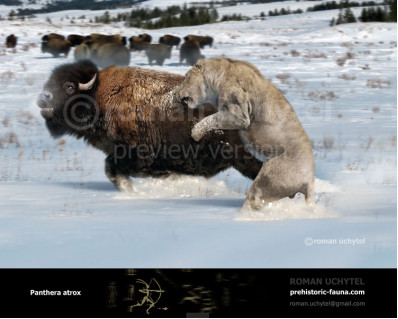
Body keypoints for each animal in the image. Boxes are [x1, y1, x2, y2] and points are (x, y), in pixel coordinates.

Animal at [36, 61, 262, 194]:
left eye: (69, 86)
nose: (43, 98)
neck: (99, 94)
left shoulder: (134, 153)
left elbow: (112, 168)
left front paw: (130, 190)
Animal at [176, 58, 316, 211]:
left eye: (186, 77)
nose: (178, 93)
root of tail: (310, 180)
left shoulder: (238, 112)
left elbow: (212, 119)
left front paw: (195, 133)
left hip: (268, 179)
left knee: (254, 199)